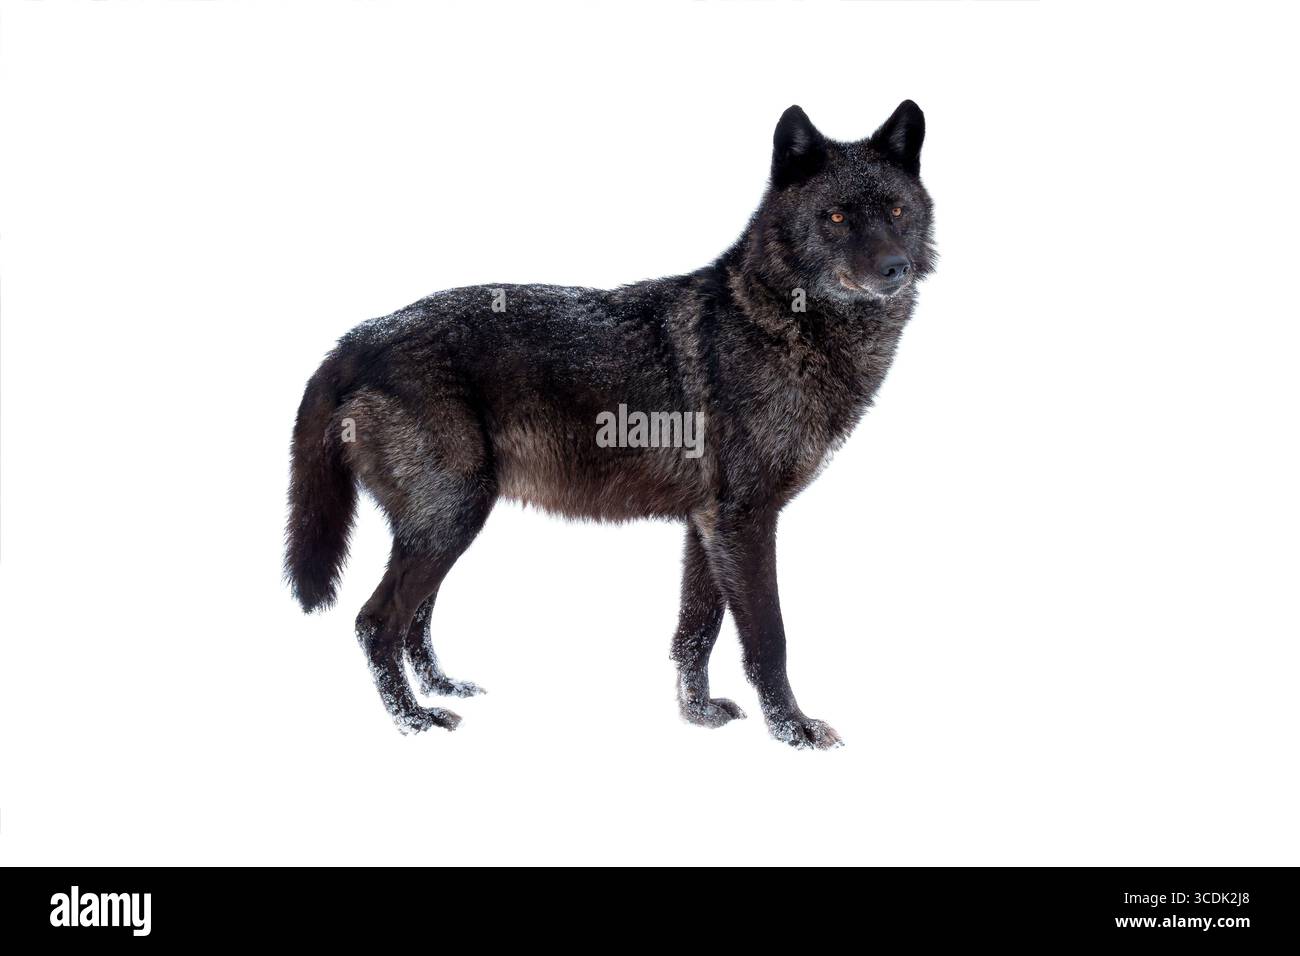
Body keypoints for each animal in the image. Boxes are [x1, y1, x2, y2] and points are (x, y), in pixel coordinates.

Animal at [285, 102, 935, 748]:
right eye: (836, 217)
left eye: (898, 212)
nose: (895, 268)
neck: (782, 322)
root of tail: (357, 339)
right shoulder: (744, 519)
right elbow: (767, 638)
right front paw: (793, 730)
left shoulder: (706, 525)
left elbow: (695, 631)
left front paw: (697, 714)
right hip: (450, 519)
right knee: (376, 621)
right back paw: (413, 720)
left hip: (446, 523)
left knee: (415, 617)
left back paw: (442, 689)